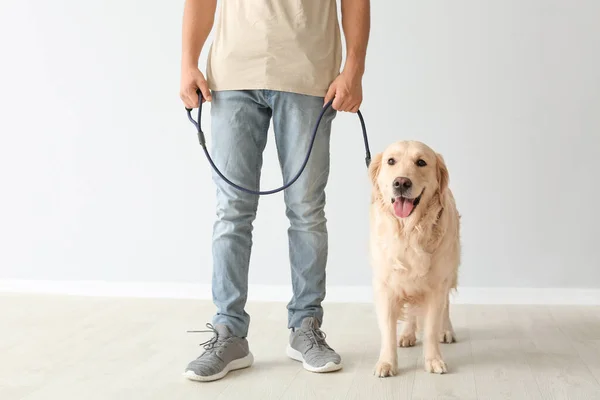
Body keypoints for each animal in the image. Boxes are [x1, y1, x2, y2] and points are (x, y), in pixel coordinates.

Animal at [366, 141, 460, 378]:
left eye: (421, 162)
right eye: (391, 161)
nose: (401, 182)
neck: (408, 231)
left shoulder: (437, 284)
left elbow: (431, 327)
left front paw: (433, 360)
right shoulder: (386, 286)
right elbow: (388, 329)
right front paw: (387, 363)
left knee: (445, 305)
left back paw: (447, 330)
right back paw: (407, 334)